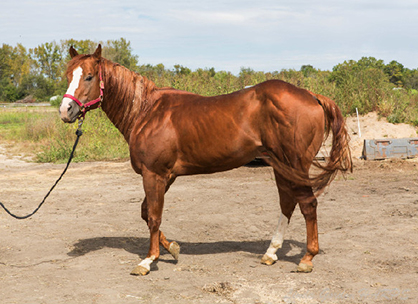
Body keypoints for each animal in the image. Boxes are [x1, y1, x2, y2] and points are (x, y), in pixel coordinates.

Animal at [59, 45, 352, 276]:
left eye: (89, 76)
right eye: (68, 75)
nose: (66, 110)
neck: (146, 111)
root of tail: (312, 96)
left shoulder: (154, 174)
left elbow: (153, 216)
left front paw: (148, 260)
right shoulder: (165, 176)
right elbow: (146, 212)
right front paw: (173, 248)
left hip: (295, 164)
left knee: (308, 204)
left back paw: (307, 258)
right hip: (281, 165)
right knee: (287, 203)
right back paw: (270, 253)